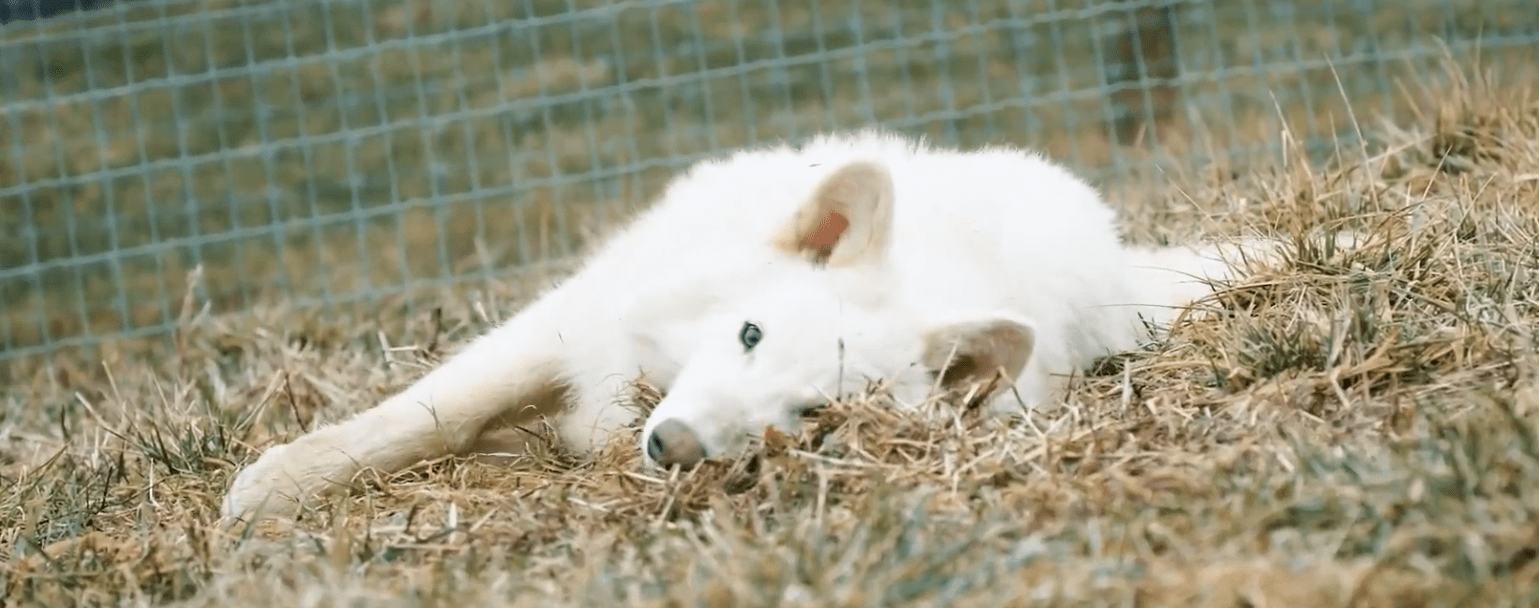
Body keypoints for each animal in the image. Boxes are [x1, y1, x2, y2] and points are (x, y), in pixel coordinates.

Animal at [220, 130, 1278, 521]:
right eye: (749, 335)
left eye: (811, 415)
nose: (675, 446)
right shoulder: (572, 320)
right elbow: (427, 414)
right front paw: (281, 484)